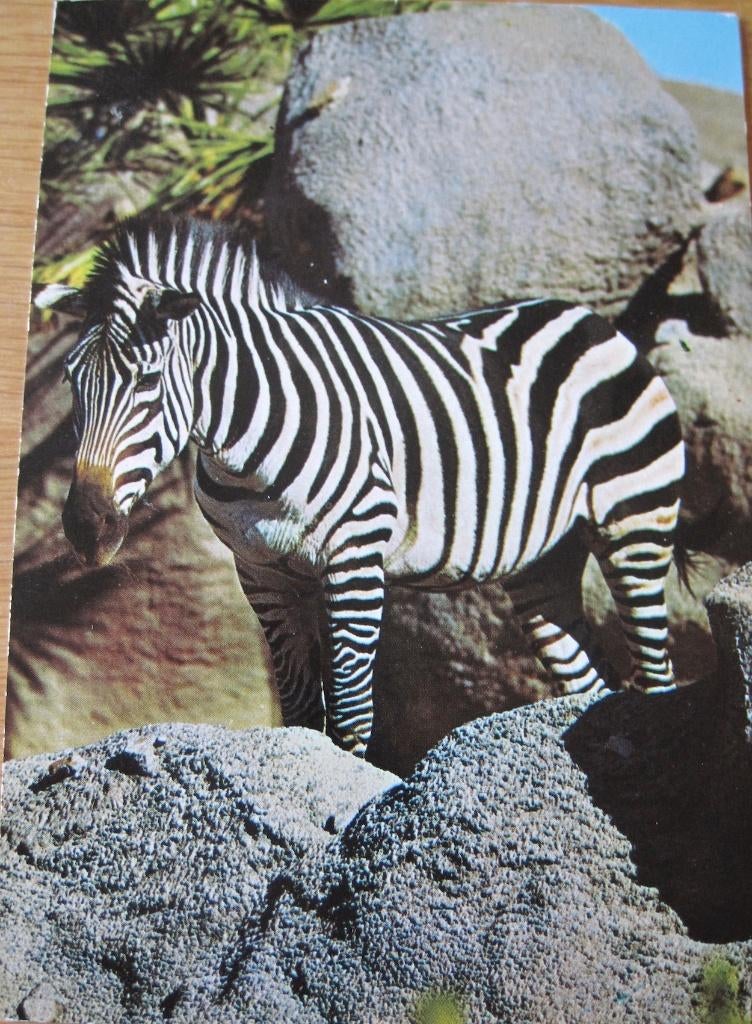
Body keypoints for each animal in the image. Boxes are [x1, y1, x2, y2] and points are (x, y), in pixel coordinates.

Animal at [37, 215, 685, 757]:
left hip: (635, 526)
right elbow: (300, 710)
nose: (86, 528)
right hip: (544, 564)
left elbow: (349, 713)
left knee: (656, 673)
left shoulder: (354, 558)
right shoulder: (261, 570)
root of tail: (590, 319)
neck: (246, 444)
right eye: (70, 381)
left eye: (147, 381)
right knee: (589, 682)